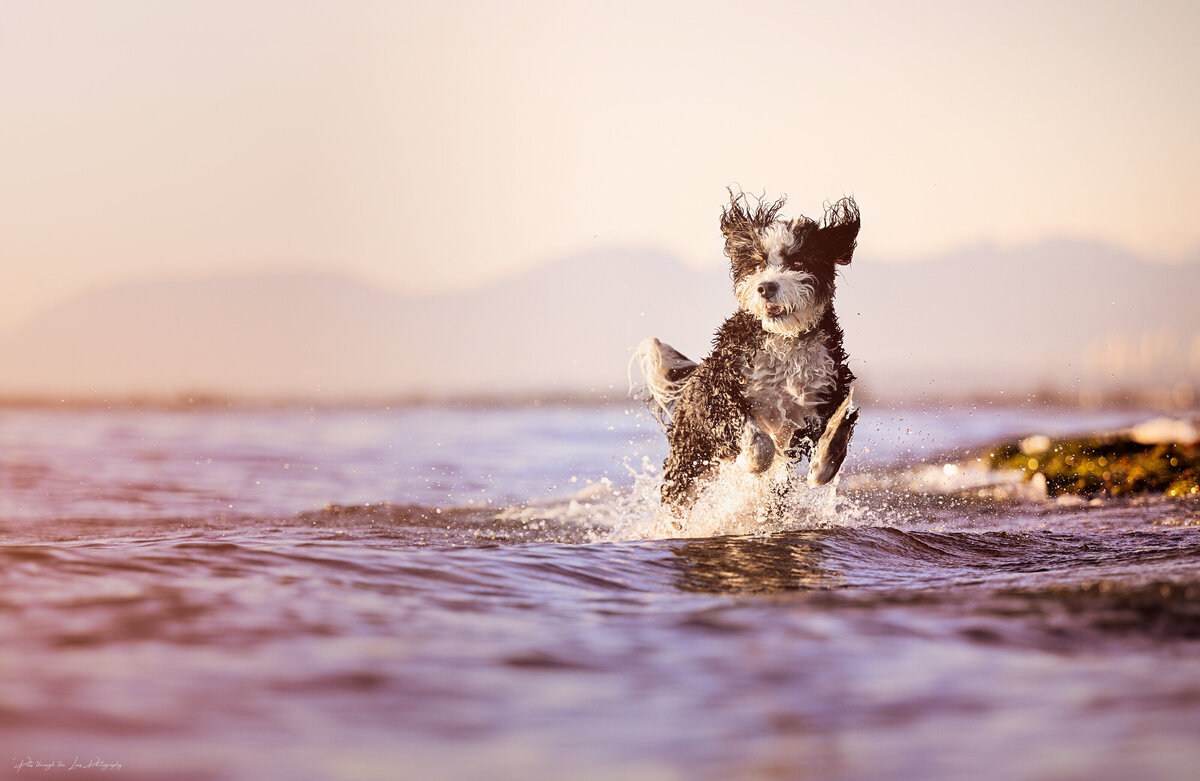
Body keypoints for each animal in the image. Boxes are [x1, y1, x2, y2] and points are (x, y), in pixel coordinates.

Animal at [638, 191, 864, 511]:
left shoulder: (826, 392)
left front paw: (822, 465)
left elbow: (838, 427)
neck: (785, 341)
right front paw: (753, 461)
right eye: (758, 265)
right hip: (688, 456)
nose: (766, 287)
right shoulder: (717, 391)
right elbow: (757, 440)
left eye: (798, 262)